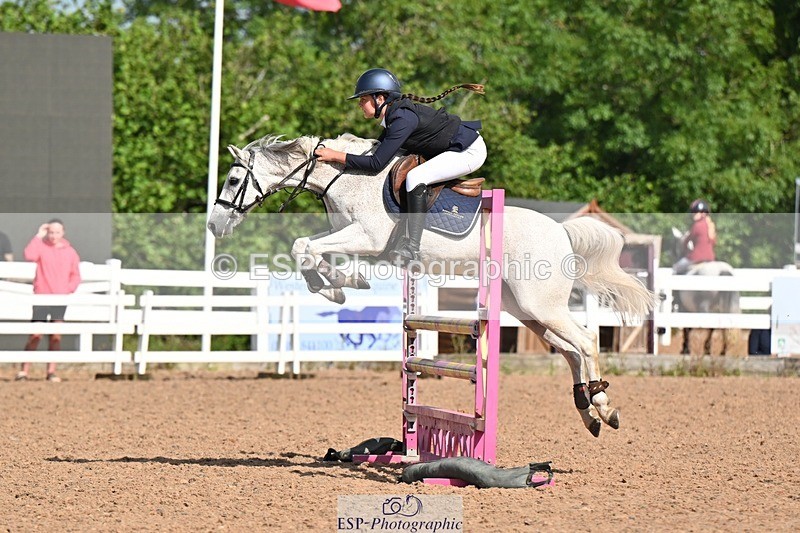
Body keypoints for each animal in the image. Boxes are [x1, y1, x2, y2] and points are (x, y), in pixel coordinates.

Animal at [207, 133, 655, 437]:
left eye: (231, 180)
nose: (215, 225)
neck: (347, 180)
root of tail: (561, 231)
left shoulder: (367, 238)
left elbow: (305, 246)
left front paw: (339, 283)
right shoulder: (347, 237)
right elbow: (307, 248)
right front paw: (338, 283)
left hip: (542, 305)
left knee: (585, 340)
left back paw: (603, 404)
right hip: (525, 310)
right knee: (569, 350)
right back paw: (588, 411)